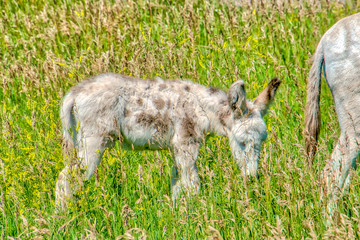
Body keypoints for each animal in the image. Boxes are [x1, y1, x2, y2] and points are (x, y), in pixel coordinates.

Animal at [56, 73, 282, 208]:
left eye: (261, 142)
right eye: (242, 142)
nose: (251, 177)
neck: (203, 110)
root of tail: (75, 93)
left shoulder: (176, 146)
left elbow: (177, 183)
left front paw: (176, 214)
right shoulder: (186, 143)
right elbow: (192, 184)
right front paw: (197, 216)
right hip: (93, 141)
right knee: (66, 178)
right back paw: (64, 218)